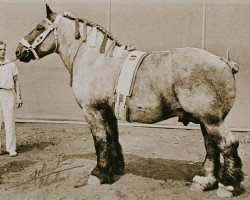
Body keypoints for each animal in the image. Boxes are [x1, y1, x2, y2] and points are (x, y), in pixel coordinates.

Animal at [16, 4, 244, 197]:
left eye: (39, 28)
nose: (18, 51)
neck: (96, 60)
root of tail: (224, 62)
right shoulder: (107, 111)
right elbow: (112, 136)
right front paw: (114, 169)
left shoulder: (92, 111)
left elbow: (100, 140)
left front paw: (98, 174)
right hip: (206, 120)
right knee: (211, 146)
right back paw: (204, 181)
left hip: (211, 119)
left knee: (227, 144)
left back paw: (228, 185)